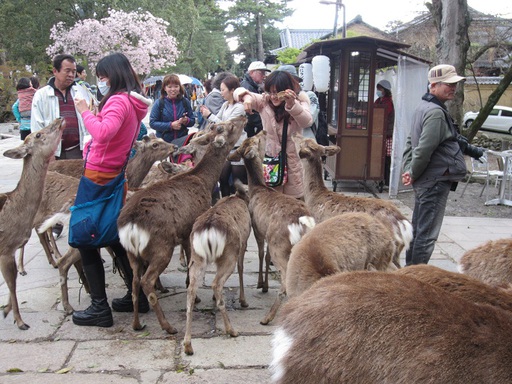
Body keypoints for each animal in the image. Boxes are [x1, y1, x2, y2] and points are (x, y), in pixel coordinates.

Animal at [0, 118, 64, 330]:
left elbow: (12, 281)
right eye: (38, 134)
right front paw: (20, 321)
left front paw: (6, 310)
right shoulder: (5, 249)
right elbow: (11, 283)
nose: (59, 119)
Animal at [118, 115, 246, 334]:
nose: (244, 116)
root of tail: (131, 226)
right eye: (227, 126)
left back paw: (137, 324)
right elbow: (189, 260)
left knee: (134, 281)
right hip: (162, 246)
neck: (204, 180)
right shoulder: (190, 226)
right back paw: (167, 326)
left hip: (132, 253)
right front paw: (195, 295)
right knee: (146, 281)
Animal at [184, 179, 252, 354]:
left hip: (197, 256)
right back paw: (231, 330)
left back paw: (188, 345)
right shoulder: (244, 243)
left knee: (191, 290)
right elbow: (241, 268)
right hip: (229, 254)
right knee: (216, 283)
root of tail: (208, 229)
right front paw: (243, 301)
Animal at [229, 130, 316, 326]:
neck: (258, 188)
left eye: (256, 139)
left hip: (280, 244)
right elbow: (266, 255)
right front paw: (265, 284)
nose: (264, 131)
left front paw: (261, 284)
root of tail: (303, 223)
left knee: (285, 280)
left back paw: (268, 317)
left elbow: (261, 253)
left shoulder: (257, 228)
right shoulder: (265, 231)